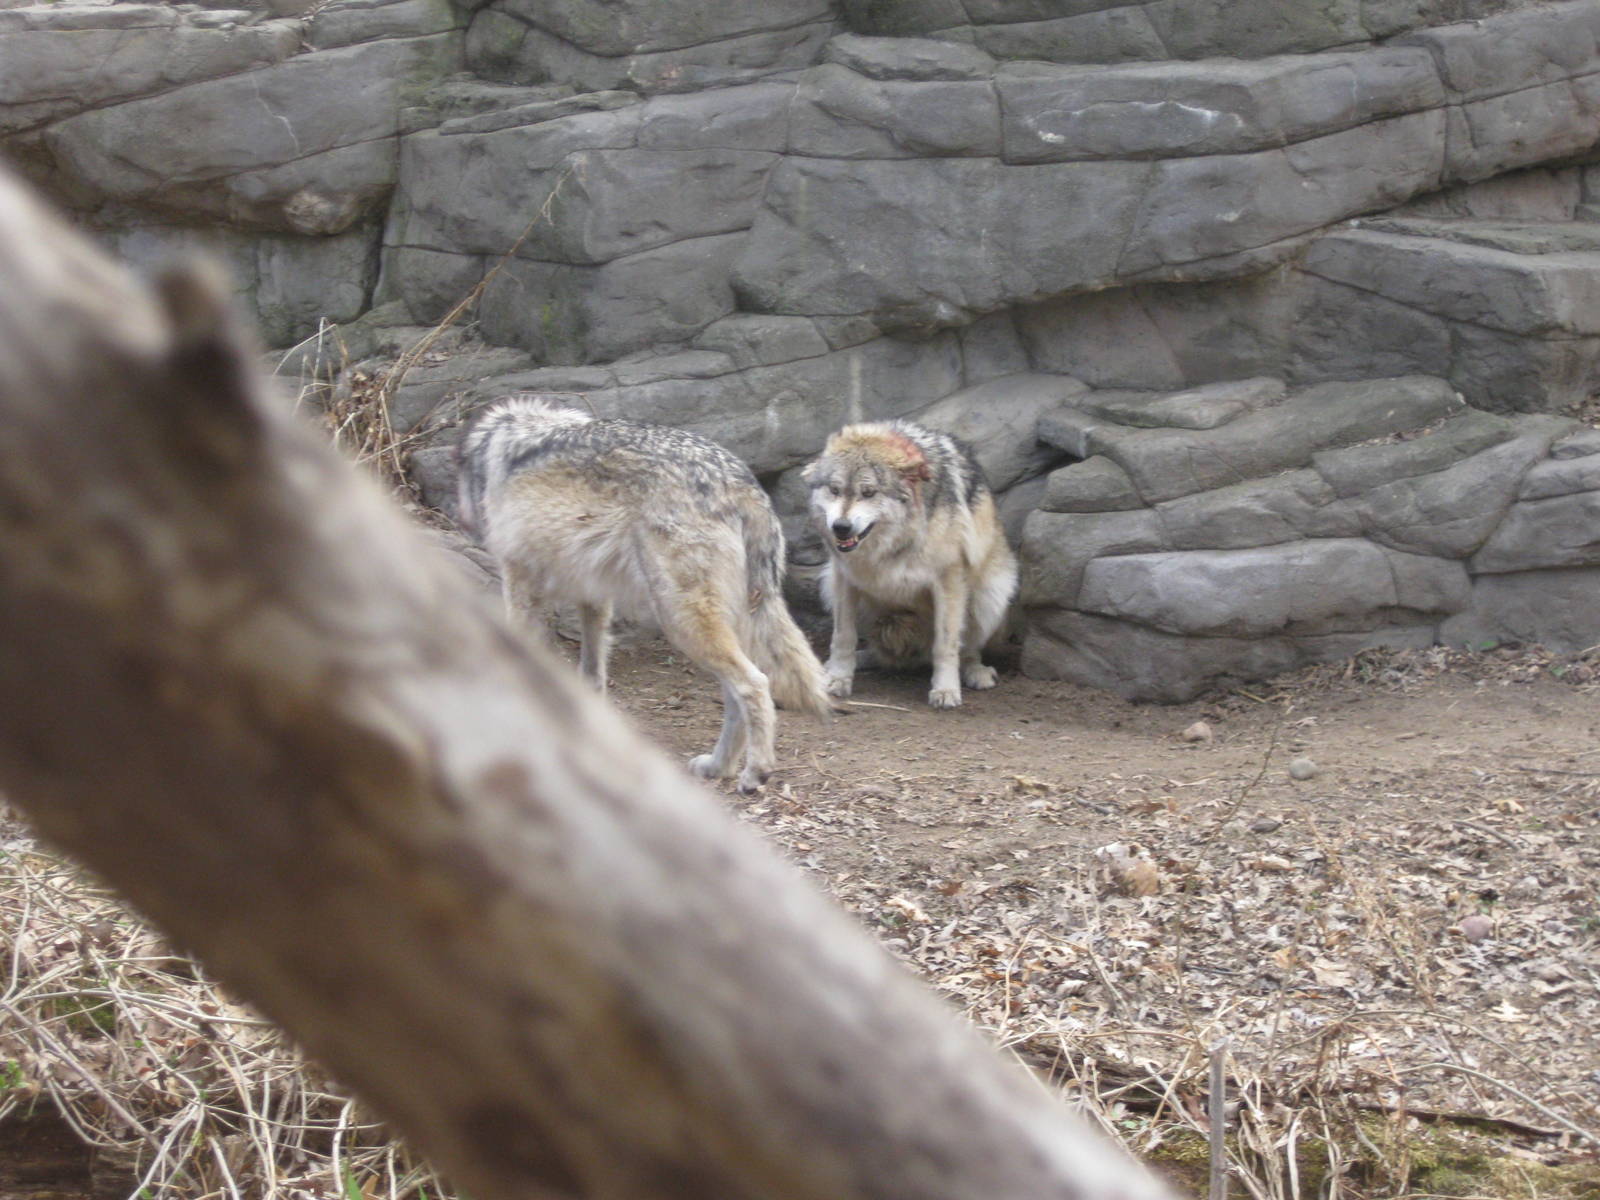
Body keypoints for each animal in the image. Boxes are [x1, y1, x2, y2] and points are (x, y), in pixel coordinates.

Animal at [456, 394, 830, 793]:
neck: (498, 445)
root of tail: (743, 482)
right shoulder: (593, 596)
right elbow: (592, 676)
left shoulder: (520, 585)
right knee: (737, 696)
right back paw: (718, 767)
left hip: (680, 621)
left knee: (755, 684)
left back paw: (754, 772)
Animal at [803, 420, 1018, 709]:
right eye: (834, 490)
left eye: (868, 493)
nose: (841, 527)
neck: (893, 543)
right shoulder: (843, 576)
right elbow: (843, 636)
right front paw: (837, 678)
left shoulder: (948, 580)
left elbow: (947, 644)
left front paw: (946, 690)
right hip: (830, 584)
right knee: (881, 653)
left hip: (992, 595)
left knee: (967, 650)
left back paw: (976, 673)